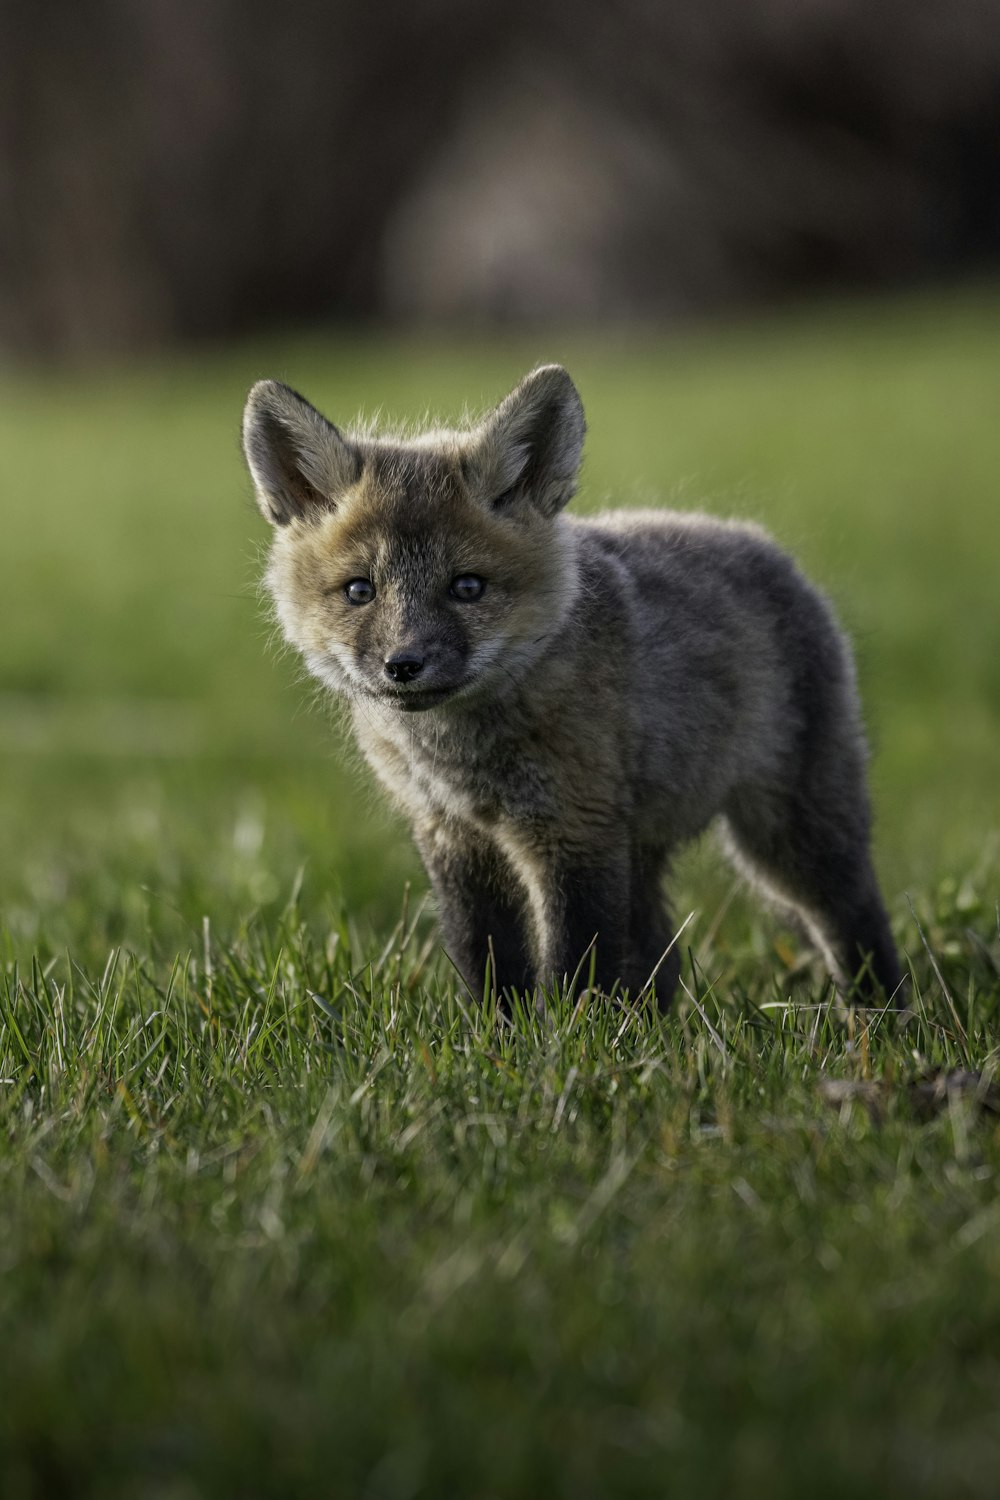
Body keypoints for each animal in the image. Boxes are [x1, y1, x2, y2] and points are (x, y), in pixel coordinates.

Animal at [242, 366, 905, 1008]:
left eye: (467, 587)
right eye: (360, 590)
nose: (403, 665)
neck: (463, 760)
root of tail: (762, 543)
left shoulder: (573, 830)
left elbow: (574, 968)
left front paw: (567, 1039)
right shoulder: (453, 836)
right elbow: (486, 960)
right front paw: (499, 1034)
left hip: (791, 838)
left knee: (853, 920)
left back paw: (879, 1016)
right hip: (642, 848)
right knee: (659, 960)